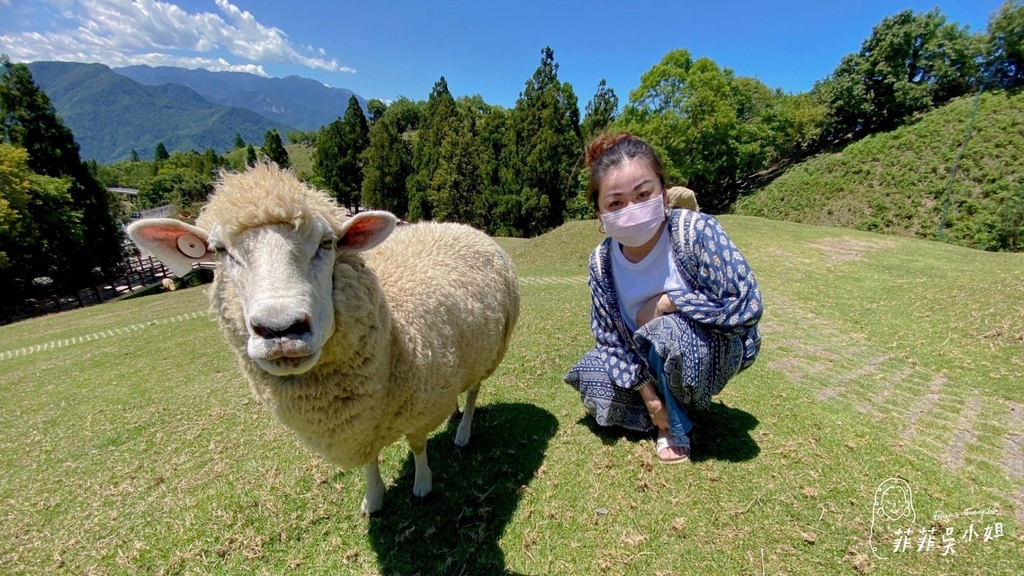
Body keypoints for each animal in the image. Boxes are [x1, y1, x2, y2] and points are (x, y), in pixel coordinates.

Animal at [125, 163, 520, 512]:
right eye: (220, 251)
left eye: (327, 243)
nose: (280, 329)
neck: (395, 337)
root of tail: (460, 226)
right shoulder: (361, 424)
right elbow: (370, 459)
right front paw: (373, 498)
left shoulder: (418, 405)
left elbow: (418, 444)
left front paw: (422, 485)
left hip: (491, 350)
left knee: (474, 391)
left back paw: (463, 432)